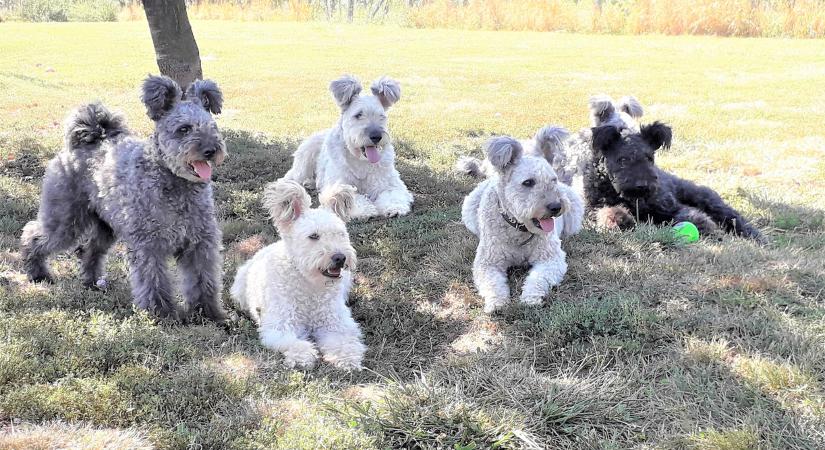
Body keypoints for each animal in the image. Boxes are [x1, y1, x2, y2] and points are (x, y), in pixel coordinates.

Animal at [20, 75, 230, 322]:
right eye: (184, 129)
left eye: (212, 127)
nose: (211, 150)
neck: (175, 187)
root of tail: (87, 140)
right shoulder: (149, 245)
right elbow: (153, 281)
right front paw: (162, 314)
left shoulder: (200, 243)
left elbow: (203, 281)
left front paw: (211, 314)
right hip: (65, 219)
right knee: (33, 235)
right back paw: (37, 273)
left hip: (106, 226)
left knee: (90, 250)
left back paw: (92, 283)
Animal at [229, 179, 364, 370]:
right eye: (313, 236)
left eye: (341, 234)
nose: (340, 258)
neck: (309, 284)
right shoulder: (280, 325)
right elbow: (292, 342)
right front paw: (303, 355)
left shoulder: (336, 323)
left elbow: (344, 341)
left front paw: (347, 357)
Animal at [284, 75, 412, 220]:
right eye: (358, 115)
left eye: (382, 116)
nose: (376, 136)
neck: (361, 160)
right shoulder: (339, 184)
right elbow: (352, 196)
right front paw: (366, 210)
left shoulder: (391, 184)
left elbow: (392, 194)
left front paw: (394, 208)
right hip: (303, 165)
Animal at [458, 136, 584, 312]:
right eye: (528, 182)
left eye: (553, 180)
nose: (556, 207)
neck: (518, 229)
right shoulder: (487, 263)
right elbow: (492, 284)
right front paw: (497, 302)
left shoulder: (551, 258)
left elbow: (538, 278)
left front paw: (530, 298)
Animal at [584, 119, 764, 239]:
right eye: (622, 159)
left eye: (649, 158)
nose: (643, 185)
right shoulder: (594, 207)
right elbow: (607, 210)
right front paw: (619, 220)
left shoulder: (669, 206)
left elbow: (687, 213)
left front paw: (702, 224)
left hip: (709, 201)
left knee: (735, 218)